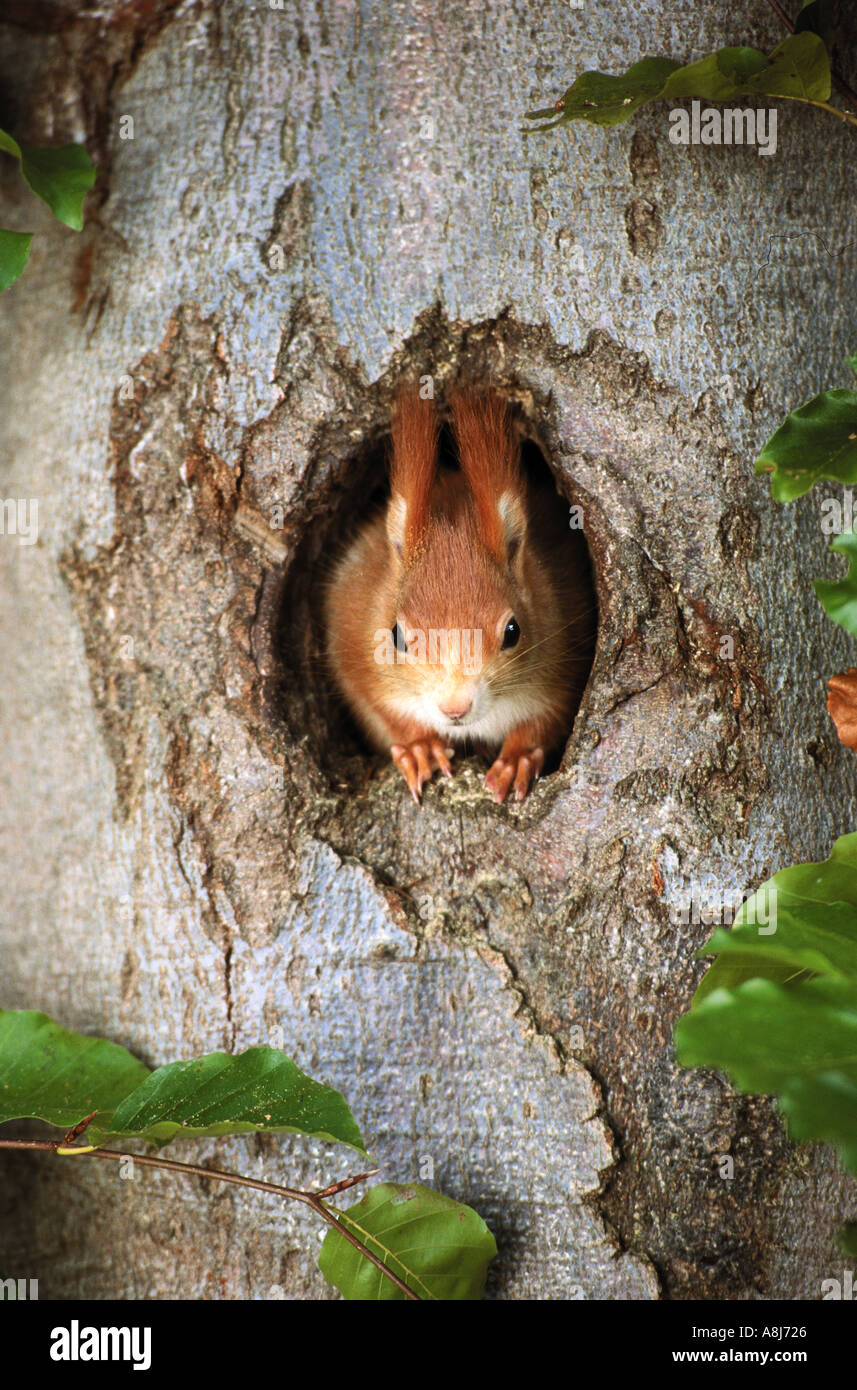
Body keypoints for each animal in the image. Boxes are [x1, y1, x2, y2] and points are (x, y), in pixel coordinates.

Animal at [324, 386, 596, 803]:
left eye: (513, 632)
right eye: (395, 636)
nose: (455, 708)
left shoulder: (566, 655)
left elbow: (546, 719)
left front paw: (516, 758)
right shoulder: (351, 637)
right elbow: (381, 708)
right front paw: (420, 747)